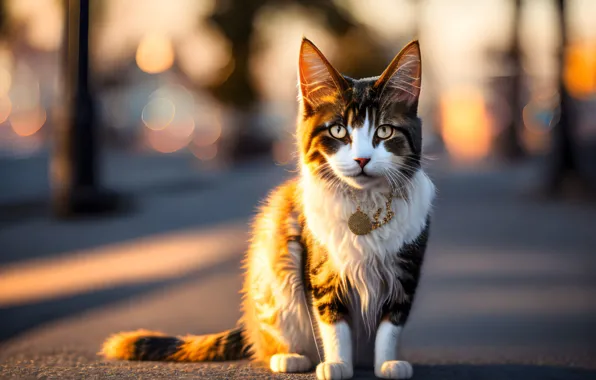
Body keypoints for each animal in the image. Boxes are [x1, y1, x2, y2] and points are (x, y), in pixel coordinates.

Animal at [102, 39, 436, 380]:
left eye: (384, 132)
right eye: (338, 131)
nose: (362, 159)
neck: (364, 205)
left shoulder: (406, 268)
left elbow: (391, 323)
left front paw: (388, 363)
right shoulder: (321, 268)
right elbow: (333, 321)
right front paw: (338, 364)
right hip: (278, 258)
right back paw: (290, 357)